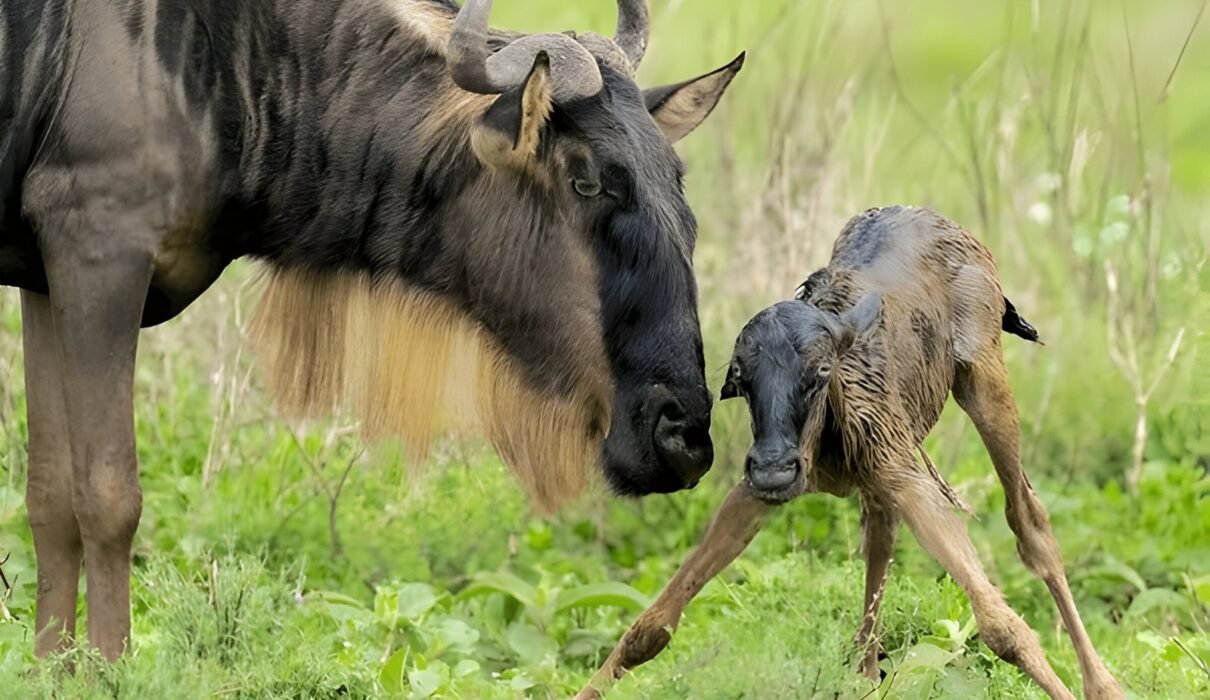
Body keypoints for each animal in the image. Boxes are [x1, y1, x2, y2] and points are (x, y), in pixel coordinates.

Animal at [575, 206, 1122, 700]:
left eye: (820, 371)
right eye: (740, 379)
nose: (774, 469)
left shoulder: (904, 472)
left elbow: (1001, 624)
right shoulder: (756, 491)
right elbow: (653, 623)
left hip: (983, 381)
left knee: (1029, 521)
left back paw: (1103, 684)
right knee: (881, 534)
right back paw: (864, 676)